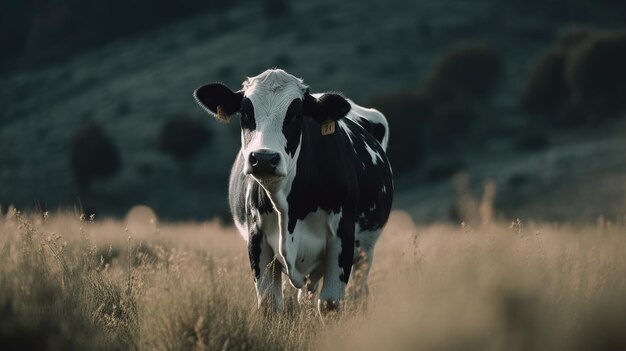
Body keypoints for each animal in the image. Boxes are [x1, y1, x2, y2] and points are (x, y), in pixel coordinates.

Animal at [193, 69, 392, 316]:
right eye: (245, 114)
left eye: (296, 116)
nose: (264, 158)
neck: (289, 209)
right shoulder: (257, 239)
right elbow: (270, 304)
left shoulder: (342, 237)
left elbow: (330, 304)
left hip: (366, 251)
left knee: (358, 292)